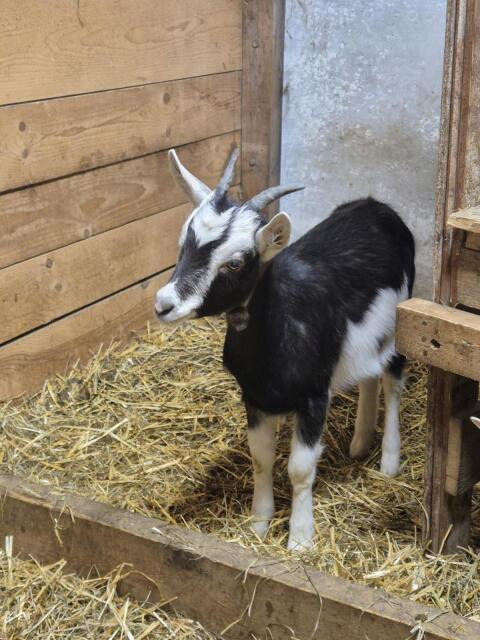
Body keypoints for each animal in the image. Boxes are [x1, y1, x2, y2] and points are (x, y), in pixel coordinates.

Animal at [154, 148, 415, 550]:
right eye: (184, 243)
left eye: (235, 262)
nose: (164, 304)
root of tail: (377, 207)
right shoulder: (254, 397)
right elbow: (261, 458)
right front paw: (259, 523)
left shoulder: (314, 396)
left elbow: (300, 469)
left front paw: (300, 538)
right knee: (369, 375)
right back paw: (359, 442)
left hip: (399, 324)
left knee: (393, 381)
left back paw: (388, 461)